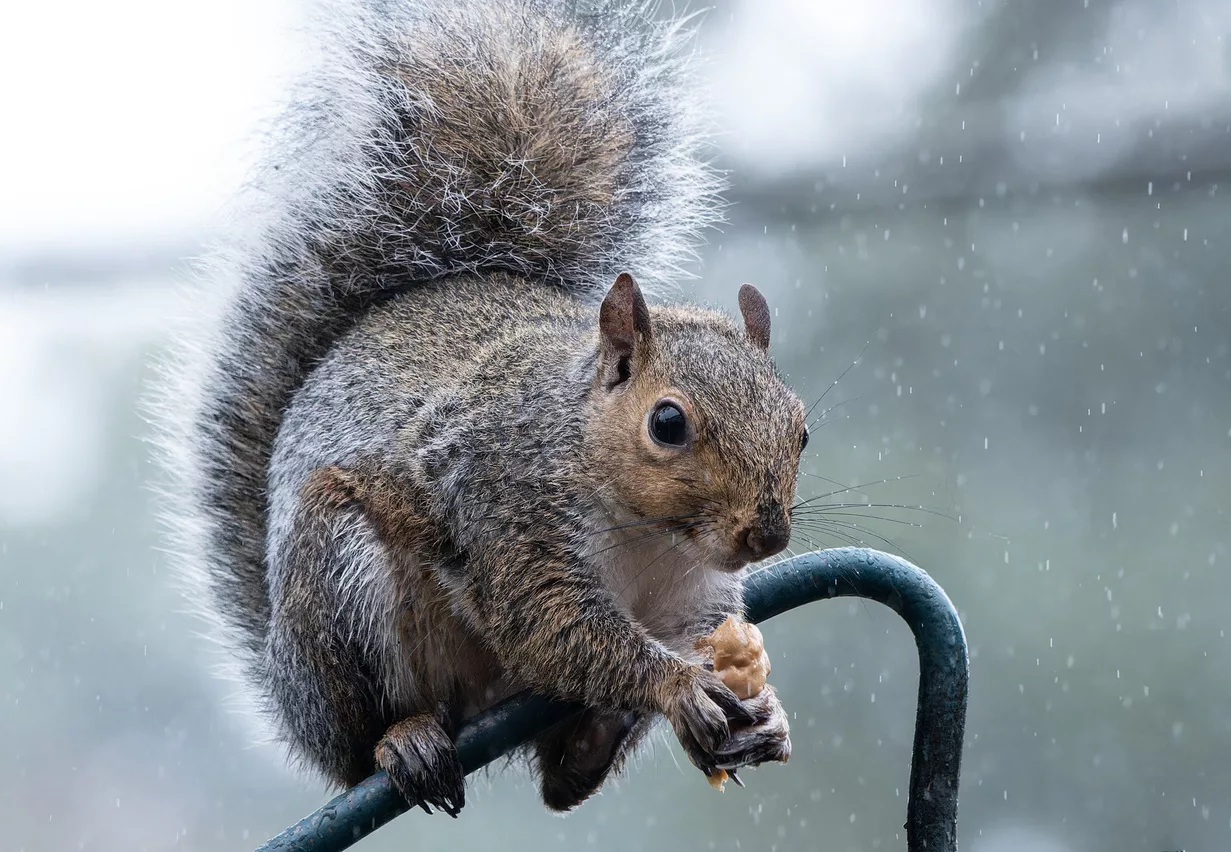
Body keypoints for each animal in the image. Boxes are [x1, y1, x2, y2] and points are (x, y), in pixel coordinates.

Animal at [153, 0, 802, 817]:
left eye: (802, 429)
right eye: (667, 423)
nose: (766, 535)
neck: (650, 536)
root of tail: (287, 691)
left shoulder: (693, 602)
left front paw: (761, 712)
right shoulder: (506, 508)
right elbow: (552, 625)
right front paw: (676, 684)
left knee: (560, 781)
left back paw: (590, 743)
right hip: (336, 577)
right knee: (360, 746)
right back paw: (403, 739)